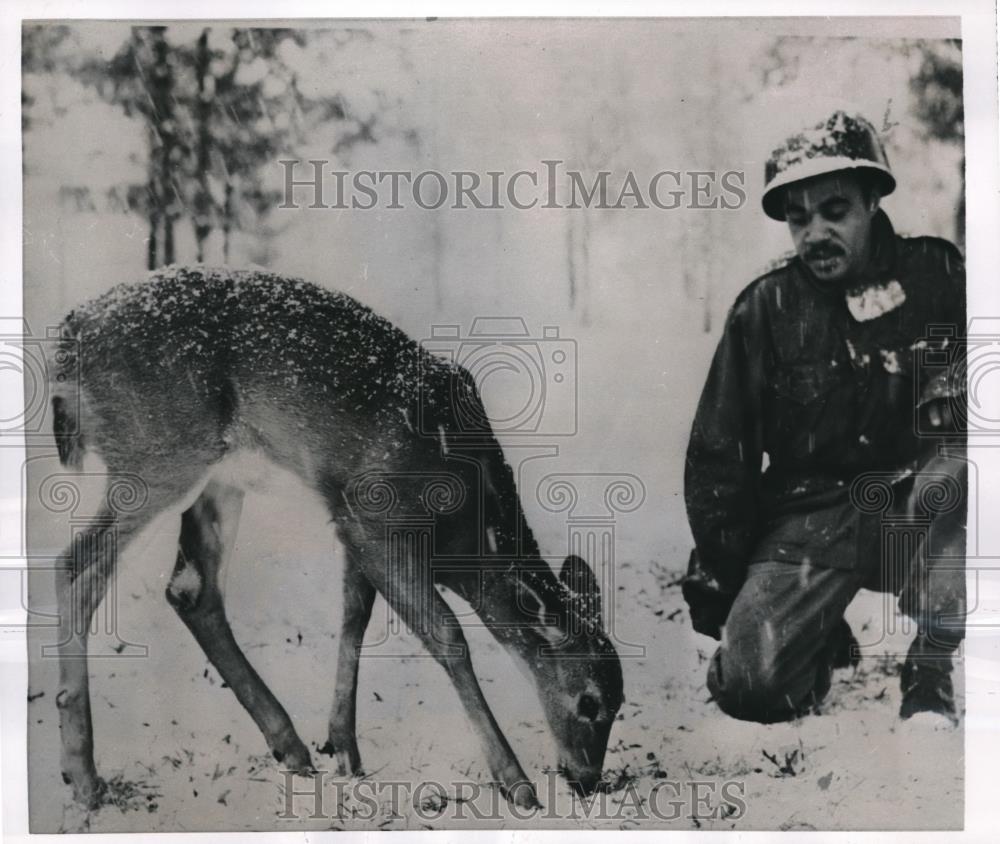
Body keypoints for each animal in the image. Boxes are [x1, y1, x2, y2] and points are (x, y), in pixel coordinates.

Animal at [48, 268, 624, 816]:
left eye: (620, 703)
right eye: (588, 702)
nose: (586, 780)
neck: (461, 531)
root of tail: (70, 331)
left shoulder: (349, 518)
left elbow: (354, 619)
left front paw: (343, 746)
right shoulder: (374, 513)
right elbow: (447, 636)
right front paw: (516, 783)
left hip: (219, 473)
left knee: (191, 589)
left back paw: (290, 746)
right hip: (158, 452)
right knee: (75, 565)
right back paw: (83, 776)